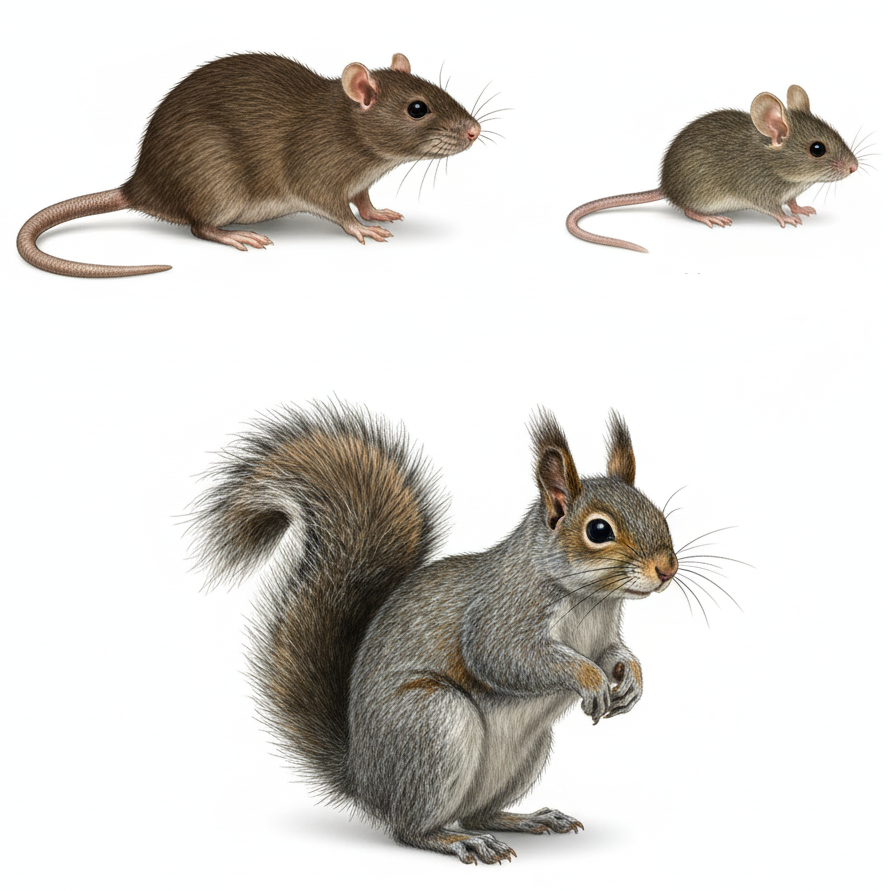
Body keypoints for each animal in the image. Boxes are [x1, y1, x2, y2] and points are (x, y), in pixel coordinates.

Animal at [191, 401, 678, 865]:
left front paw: (631, 677)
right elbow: (504, 657)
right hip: (434, 725)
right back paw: (459, 841)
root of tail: (365, 779)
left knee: (478, 812)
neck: (592, 599)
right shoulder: (502, 613)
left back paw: (527, 819)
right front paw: (589, 678)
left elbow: (614, 652)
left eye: (659, 513)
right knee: (411, 829)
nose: (667, 569)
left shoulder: (601, 635)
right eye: (599, 530)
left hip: (525, 752)